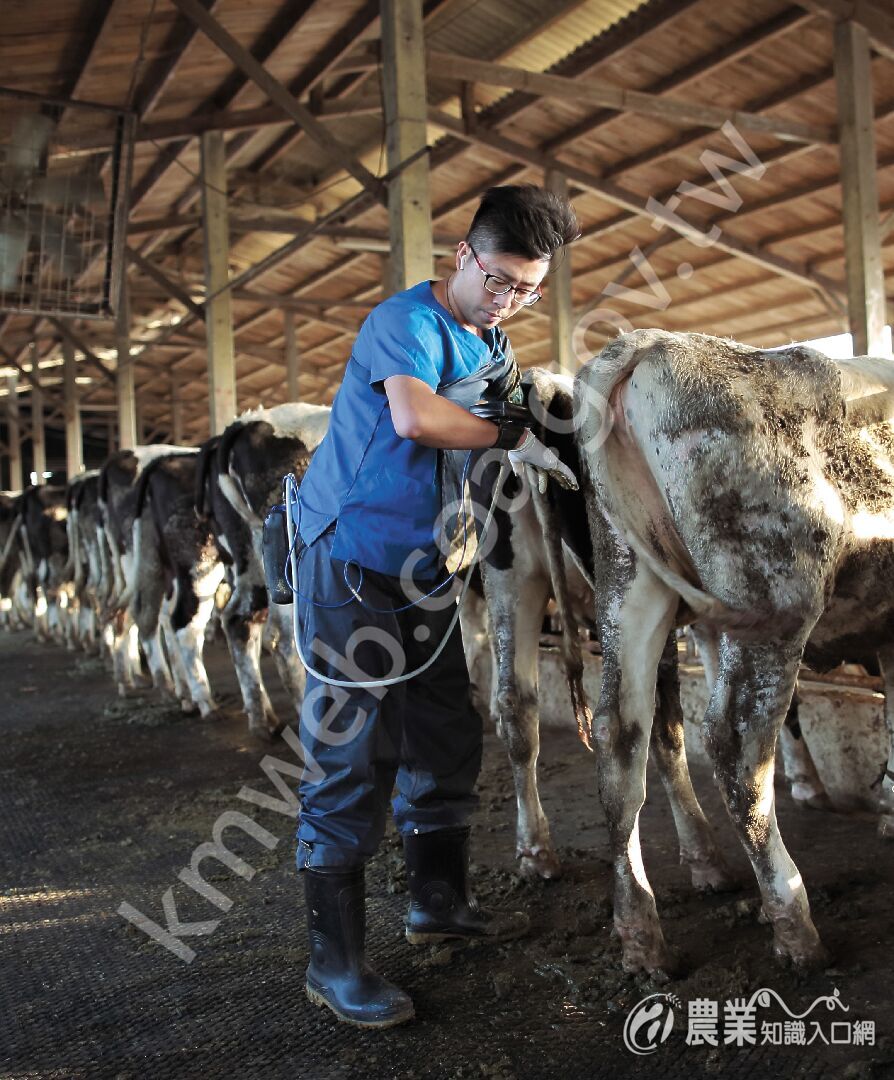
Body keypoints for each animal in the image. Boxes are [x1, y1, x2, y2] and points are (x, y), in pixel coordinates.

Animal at [574, 324, 894, 976]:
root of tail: (651, 343)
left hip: (627, 584)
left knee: (620, 740)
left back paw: (641, 935)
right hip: (774, 601)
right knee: (736, 746)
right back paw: (795, 925)